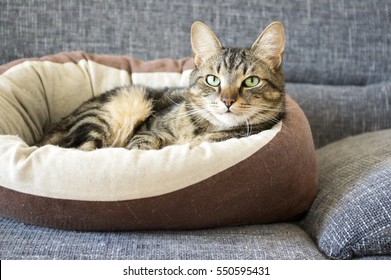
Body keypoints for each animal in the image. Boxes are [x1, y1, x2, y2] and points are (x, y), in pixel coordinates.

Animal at [39, 21, 284, 151]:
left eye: (251, 81)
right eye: (213, 80)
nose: (227, 100)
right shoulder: (148, 130)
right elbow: (146, 141)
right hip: (111, 112)